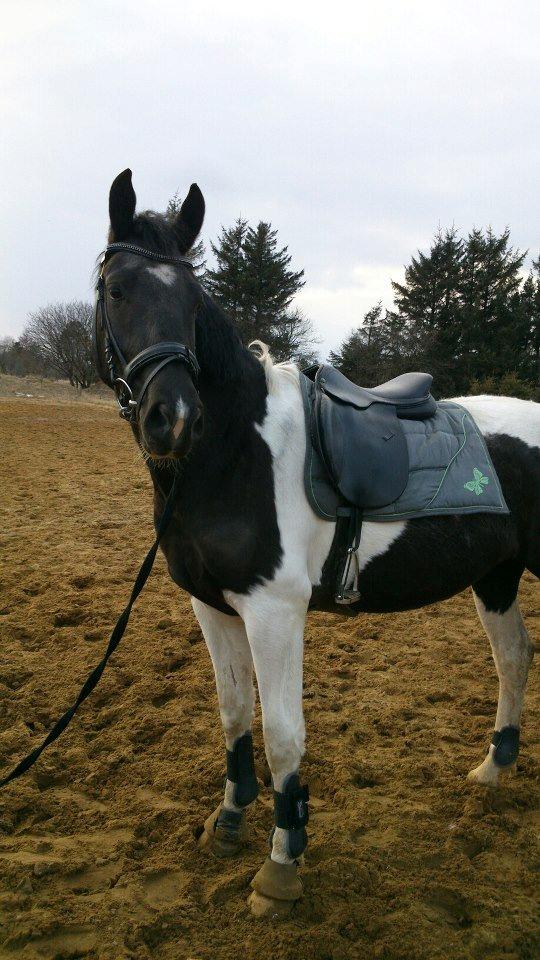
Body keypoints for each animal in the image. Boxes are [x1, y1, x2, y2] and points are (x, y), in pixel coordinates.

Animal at [95, 169, 536, 920]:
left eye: (191, 299)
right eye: (117, 289)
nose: (172, 418)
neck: (233, 453)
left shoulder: (275, 611)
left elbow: (282, 733)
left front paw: (281, 865)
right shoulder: (212, 606)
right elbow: (233, 713)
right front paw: (229, 821)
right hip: (498, 575)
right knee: (513, 660)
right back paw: (490, 769)